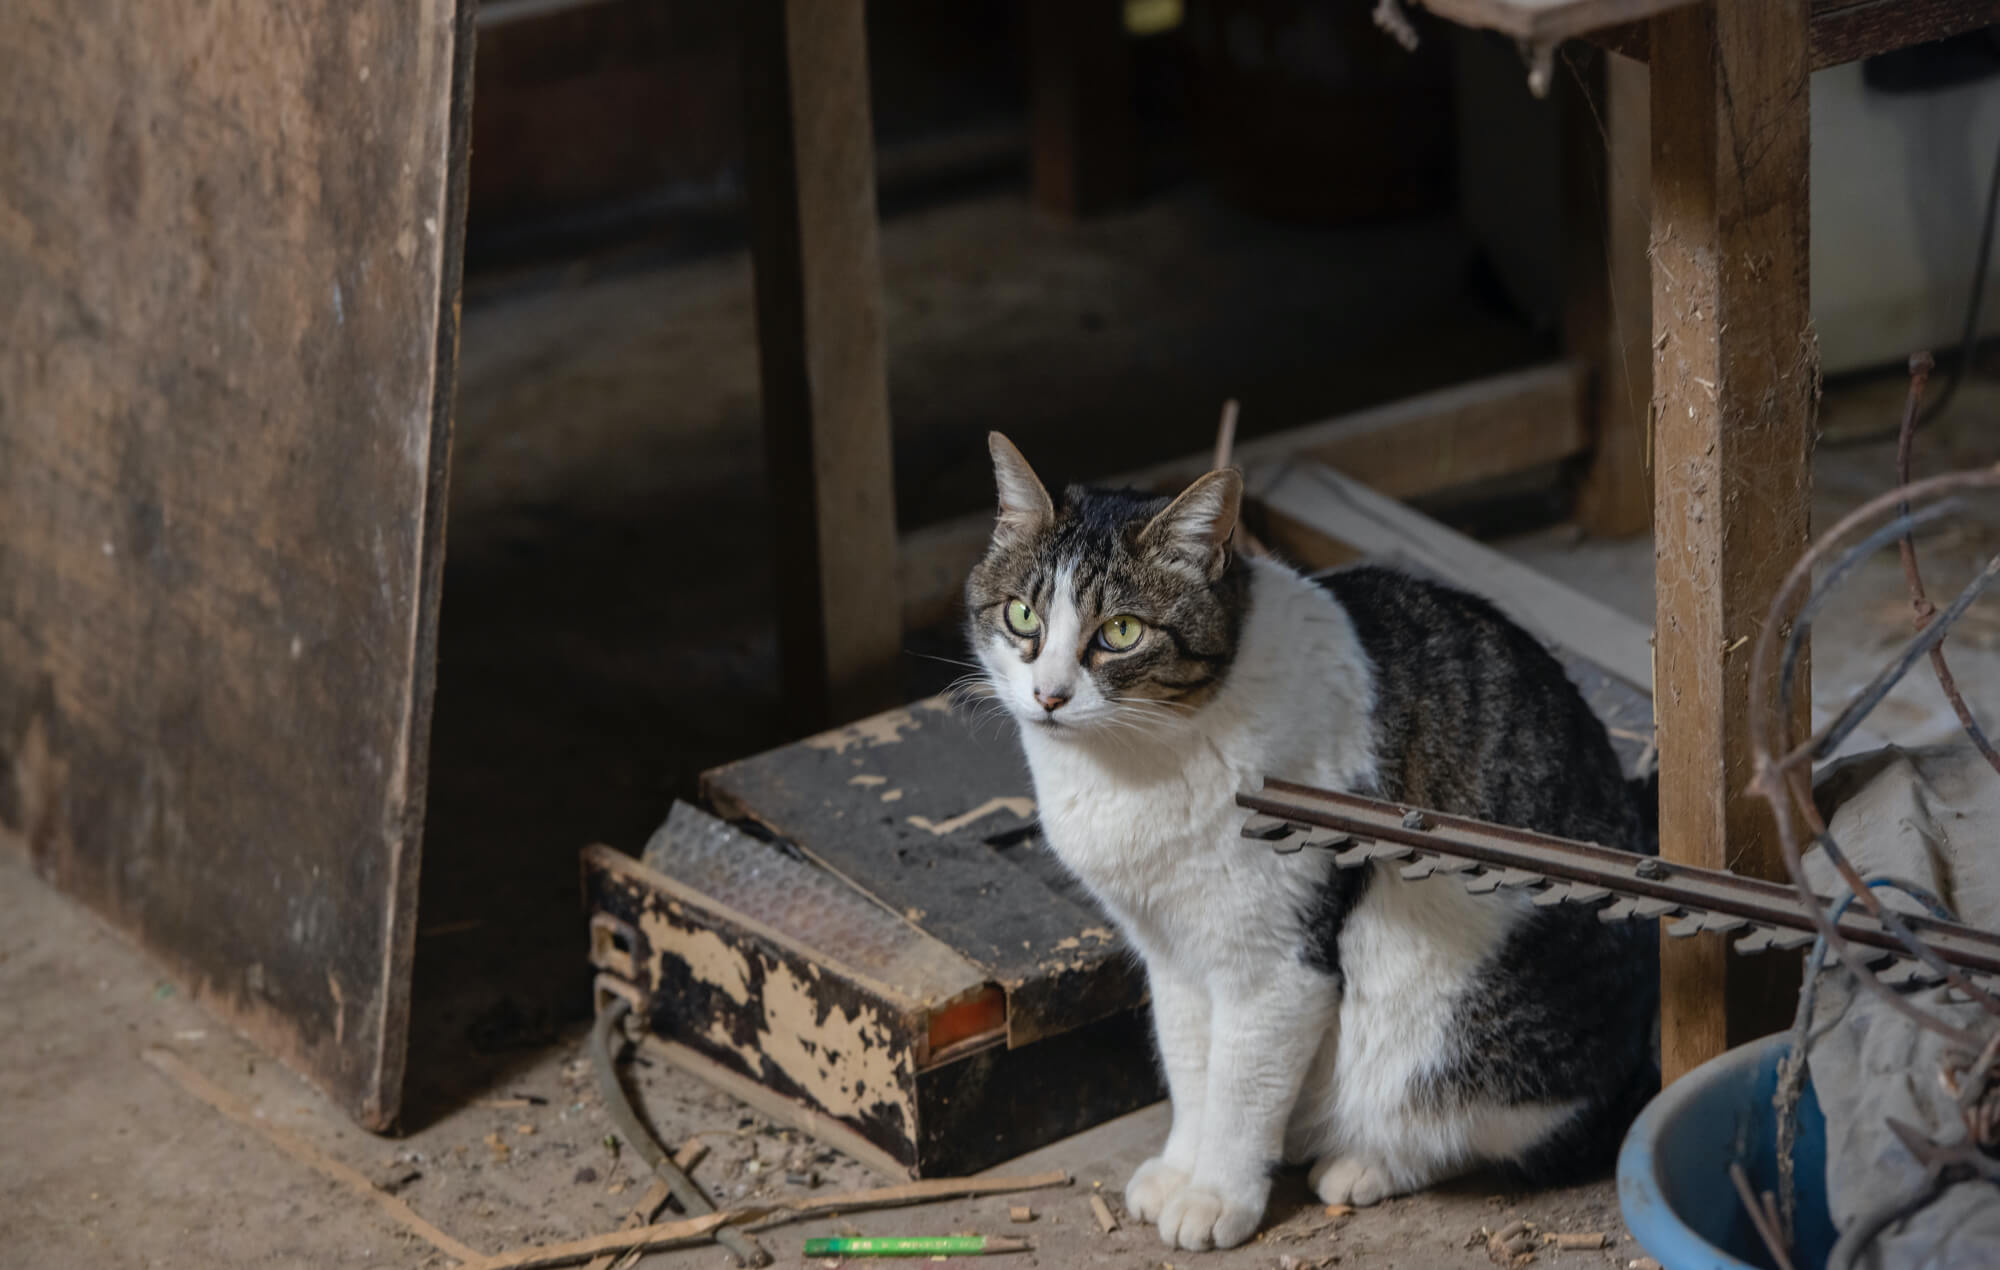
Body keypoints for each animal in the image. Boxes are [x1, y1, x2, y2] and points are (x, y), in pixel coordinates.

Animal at [964, 434, 1656, 1256]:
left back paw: (1360, 1162)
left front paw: (1216, 1195)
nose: (1050, 696)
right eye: (1022, 615)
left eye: (1122, 632)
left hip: (1428, 973)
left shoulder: (1276, 964)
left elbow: (1239, 1089)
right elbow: (1191, 1068)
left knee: (1474, 1119)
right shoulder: (1171, 950)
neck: (1135, 765)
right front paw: (1181, 1167)